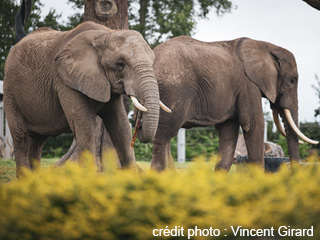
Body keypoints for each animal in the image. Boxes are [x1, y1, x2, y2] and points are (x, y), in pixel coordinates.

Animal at [4, 20, 165, 177]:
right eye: (120, 64)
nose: (139, 122)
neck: (105, 34)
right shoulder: (65, 80)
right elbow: (84, 124)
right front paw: (89, 179)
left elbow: (121, 124)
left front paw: (131, 177)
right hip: (10, 92)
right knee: (21, 137)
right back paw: (25, 179)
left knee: (38, 141)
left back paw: (35, 180)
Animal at [149, 35, 318, 172]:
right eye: (292, 81)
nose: (293, 171)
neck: (266, 46)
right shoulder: (248, 85)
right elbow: (254, 124)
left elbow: (229, 131)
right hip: (172, 91)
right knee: (164, 134)